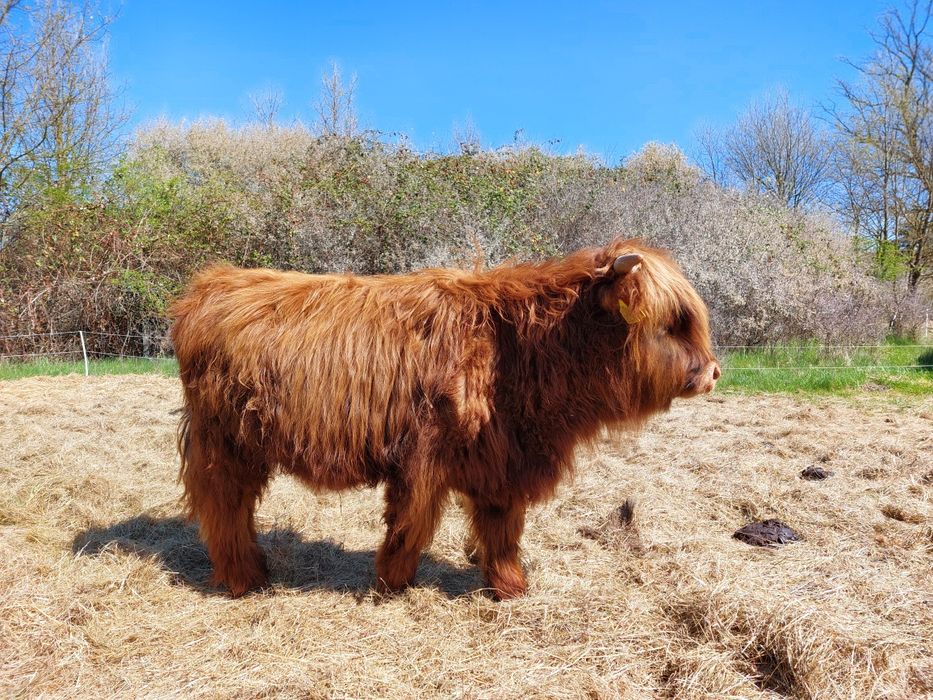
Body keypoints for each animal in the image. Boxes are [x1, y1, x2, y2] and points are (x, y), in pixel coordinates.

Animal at [170, 239, 719, 600]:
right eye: (672, 323)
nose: (714, 372)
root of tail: (213, 282)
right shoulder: (425, 458)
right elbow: (411, 524)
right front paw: (391, 583)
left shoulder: (503, 464)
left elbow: (502, 531)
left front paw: (510, 588)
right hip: (225, 448)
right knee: (225, 509)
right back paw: (245, 580)